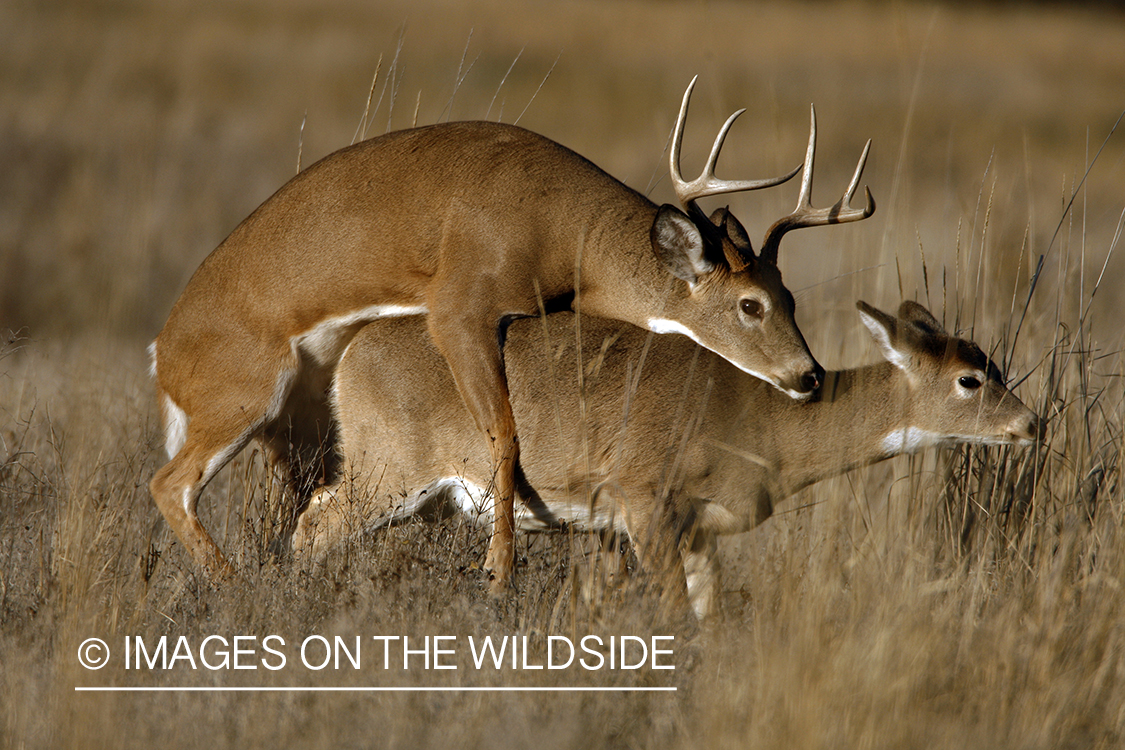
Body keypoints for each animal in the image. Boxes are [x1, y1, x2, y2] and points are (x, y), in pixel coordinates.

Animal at [149, 77, 875, 591]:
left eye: (789, 296)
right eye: (750, 305)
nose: (807, 375)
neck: (561, 229)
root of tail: (162, 355)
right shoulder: (460, 304)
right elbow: (504, 434)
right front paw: (499, 567)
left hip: (296, 425)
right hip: (243, 398)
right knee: (171, 484)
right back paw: (233, 585)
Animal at [292, 300, 1041, 618]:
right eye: (969, 380)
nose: (1031, 423)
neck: (759, 422)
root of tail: (349, 356)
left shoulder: (698, 527)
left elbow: (708, 618)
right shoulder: (643, 498)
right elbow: (675, 614)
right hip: (390, 468)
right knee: (310, 526)